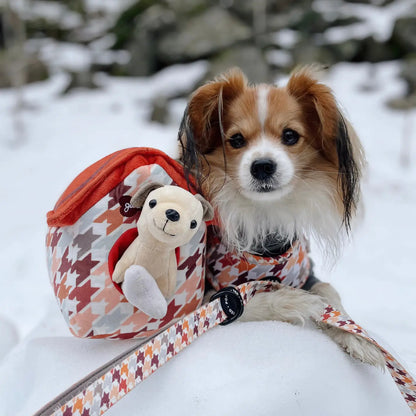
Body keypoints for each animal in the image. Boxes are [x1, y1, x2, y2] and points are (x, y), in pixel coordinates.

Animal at [177, 66, 386, 368]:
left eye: (290, 136)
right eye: (236, 140)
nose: (262, 166)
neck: (265, 217)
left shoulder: (304, 270)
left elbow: (329, 291)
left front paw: (358, 337)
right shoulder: (208, 297)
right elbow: (245, 302)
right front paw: (296, 301)